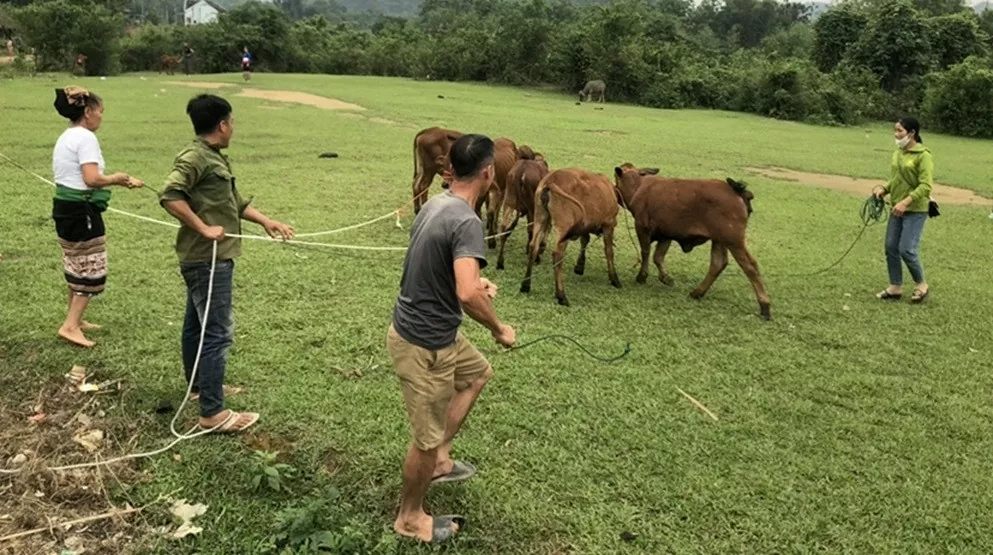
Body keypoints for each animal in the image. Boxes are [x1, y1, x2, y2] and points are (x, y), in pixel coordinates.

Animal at [520, 169, 620, 308]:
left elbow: (585, 240)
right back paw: (561, 295)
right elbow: (609, 251)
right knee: (557, 254)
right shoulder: (608, 224)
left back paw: (525, 285)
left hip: (540, 216)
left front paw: (580, 266)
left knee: (533, 247)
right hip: (564, 227)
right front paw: (614, 278)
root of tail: (551, 180)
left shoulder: (584, 224)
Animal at [612, 165, 768, 320]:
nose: (614, 189)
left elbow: (646, 252)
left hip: (734, 242)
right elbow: (658, 256)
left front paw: (642, 276)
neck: (639, 185)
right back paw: (697, 292)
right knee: (717, 263)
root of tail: (736, 190)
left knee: (750, 267)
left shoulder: (642, 228)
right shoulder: (666, 234)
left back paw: (765, 306)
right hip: (719, 241)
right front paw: (665, 278)